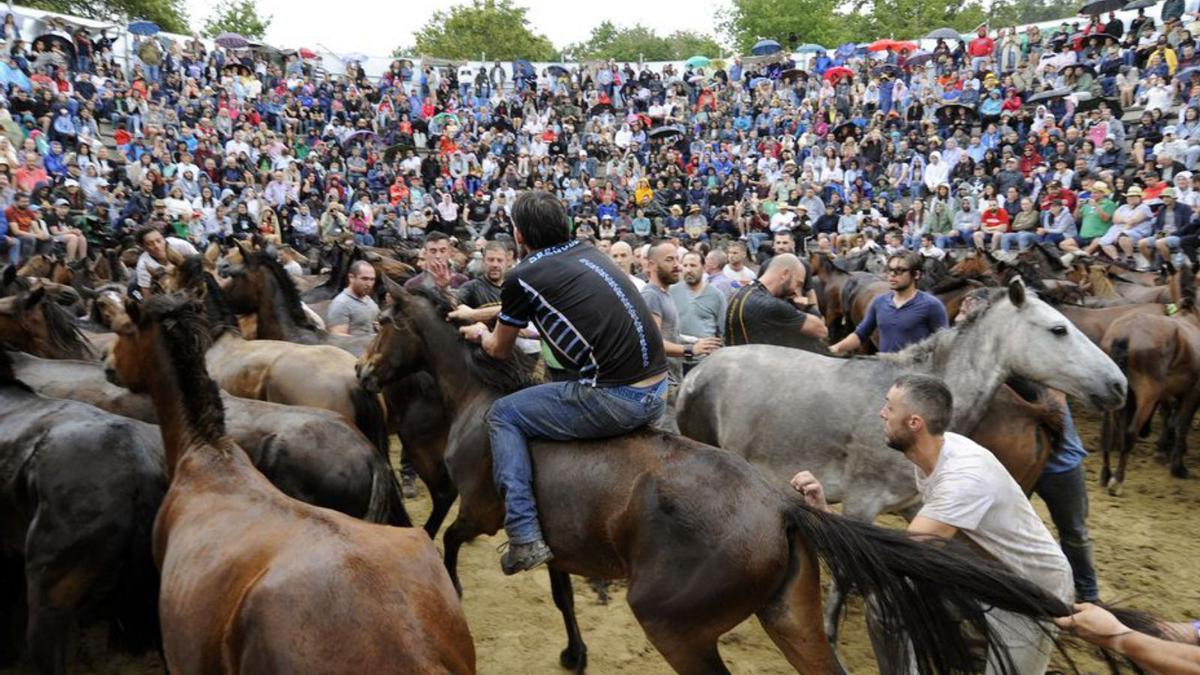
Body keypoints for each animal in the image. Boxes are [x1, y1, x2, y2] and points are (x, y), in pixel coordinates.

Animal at [355, 282, 1099, 672]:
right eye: (1057, 328)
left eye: (382, 322)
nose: (361, 373)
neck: (482, 402)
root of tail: (780, 508)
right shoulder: (552, 537)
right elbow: (561, 593)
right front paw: (573, 649)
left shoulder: (485, 510)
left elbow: (449, 540)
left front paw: (448, 586)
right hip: (786, 615)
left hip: (676, 627)